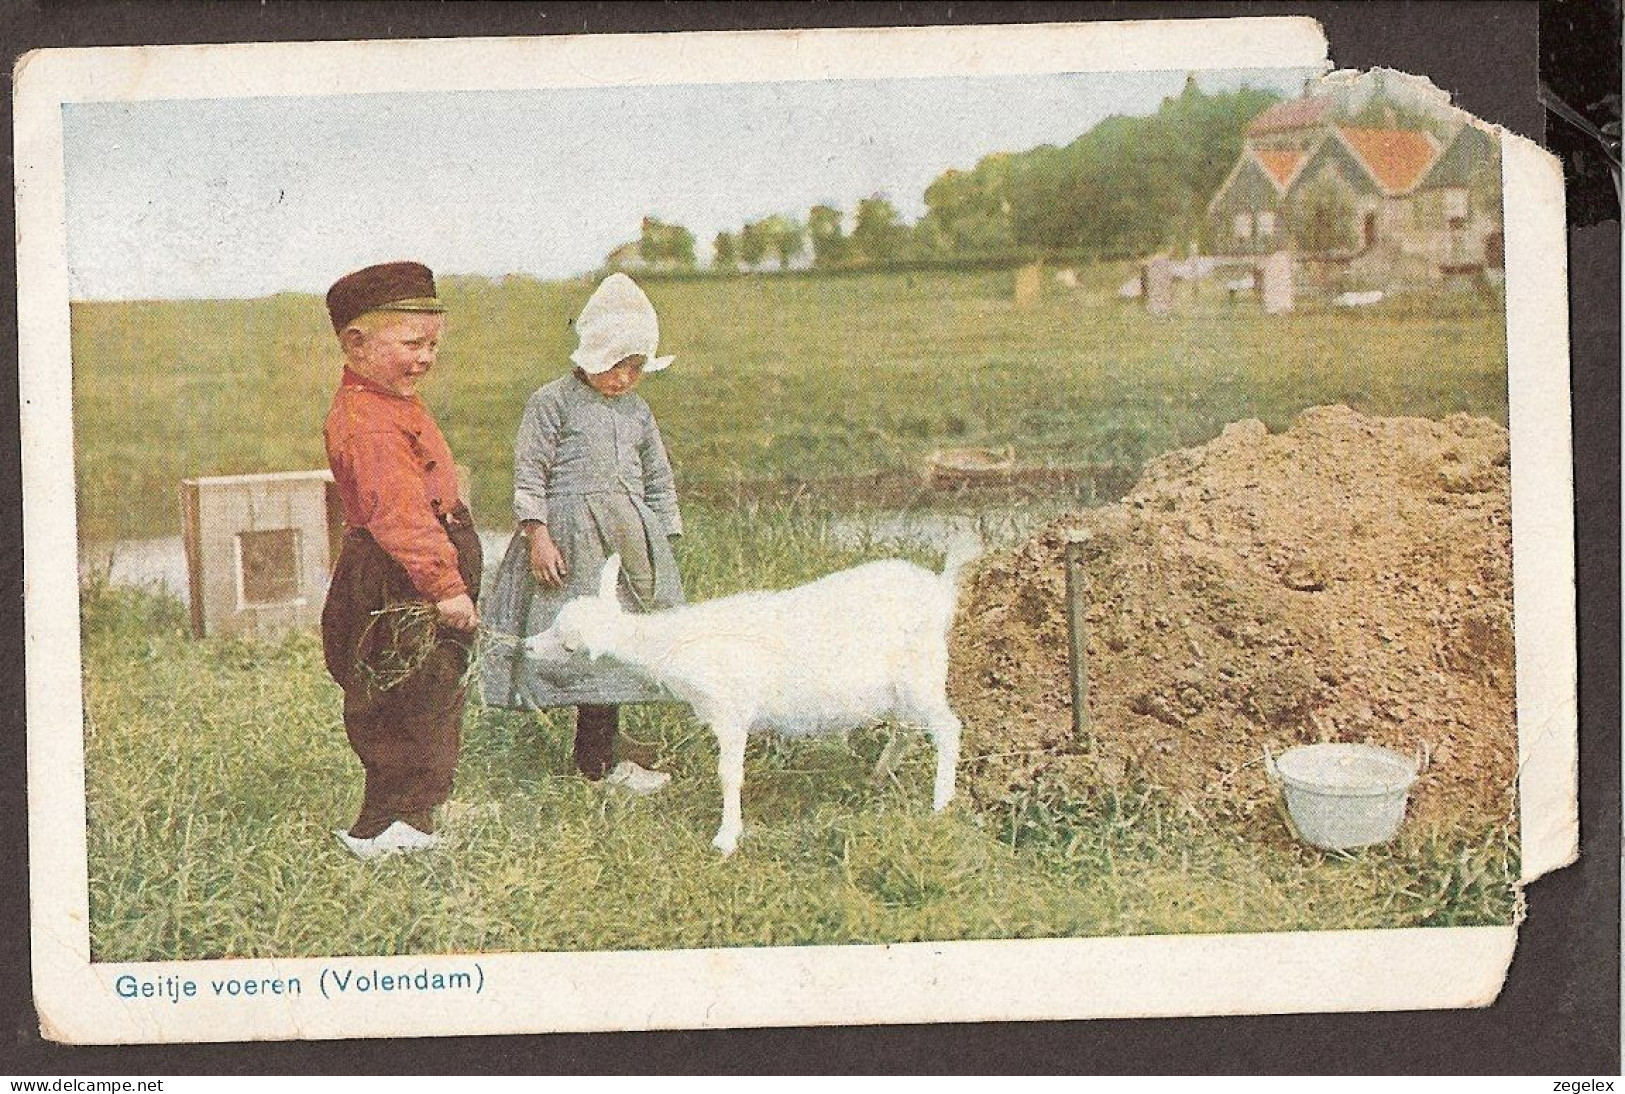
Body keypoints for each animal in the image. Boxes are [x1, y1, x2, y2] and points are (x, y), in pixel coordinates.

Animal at [523, 546, 975, 851]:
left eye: (568, 643)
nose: (527, 646)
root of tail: (941, 590)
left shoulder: (731, 710)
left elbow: (729, 774)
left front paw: (726, 838)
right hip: (901, 688)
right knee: (910, 729)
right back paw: (880, 775)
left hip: (921, 673)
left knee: (948, 728)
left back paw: (940, 803)